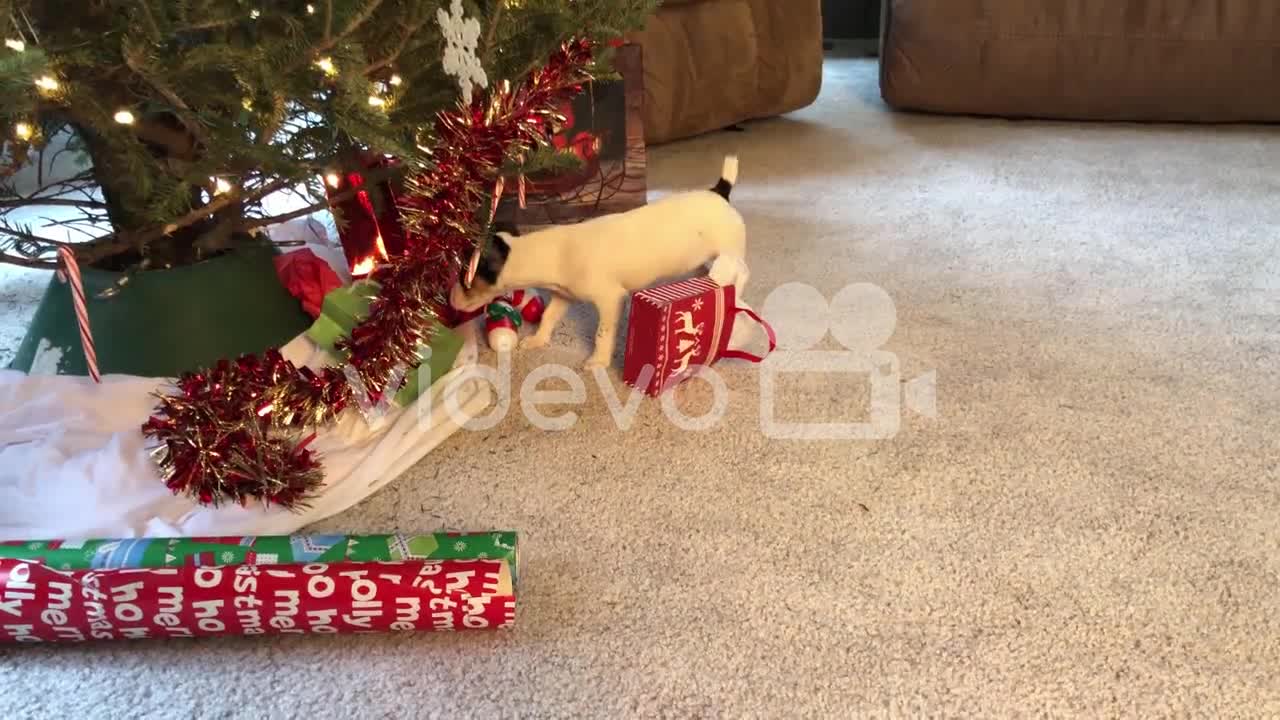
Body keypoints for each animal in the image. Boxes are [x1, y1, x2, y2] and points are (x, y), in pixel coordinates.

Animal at [453, 157, 747, 368]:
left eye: (464, 280)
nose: (450, 302)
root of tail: (719, 192)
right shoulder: (564, 296)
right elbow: (548, 317)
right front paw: (538, 340)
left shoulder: (610, 299)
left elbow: (602, 333)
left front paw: (598, 362)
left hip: (731, 249)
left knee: (742, 271)